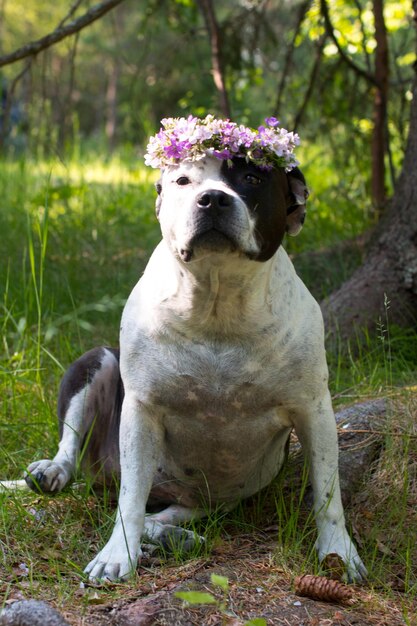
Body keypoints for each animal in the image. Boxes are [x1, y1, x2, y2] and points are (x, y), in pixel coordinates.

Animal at [24, 152, 366, 580]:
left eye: (252, 177)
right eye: (183, 180)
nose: (213, 199)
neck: (217, 301)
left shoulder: (314, 409)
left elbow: (328, 493)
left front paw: (339, 552)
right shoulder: (142, 411)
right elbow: (130, 500)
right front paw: (117, 555)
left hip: (212, 498)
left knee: (162, 516)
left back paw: (174, 536)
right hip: (94, 362)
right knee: (75, 450)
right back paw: (52, 472)